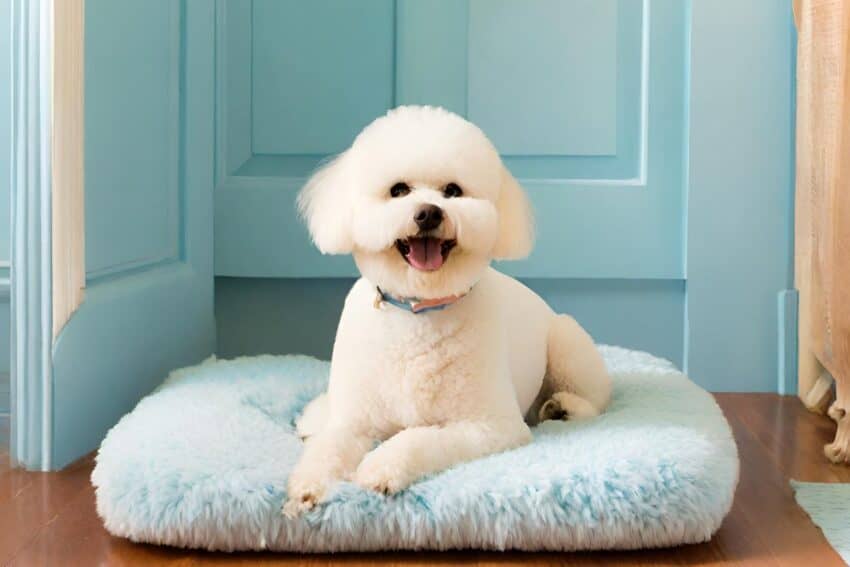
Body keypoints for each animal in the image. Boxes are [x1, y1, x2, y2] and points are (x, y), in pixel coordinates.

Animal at [284, 104, 608, 516]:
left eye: (453, 191)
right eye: (398, 190)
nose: (428, 213)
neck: (418, 310)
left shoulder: (489, 426)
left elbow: (418, 438)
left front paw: (381, 467)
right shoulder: (352, 421)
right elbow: (327, 448)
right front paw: (307, 486)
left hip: (568, 343)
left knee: (593, 400)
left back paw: (562, 407)